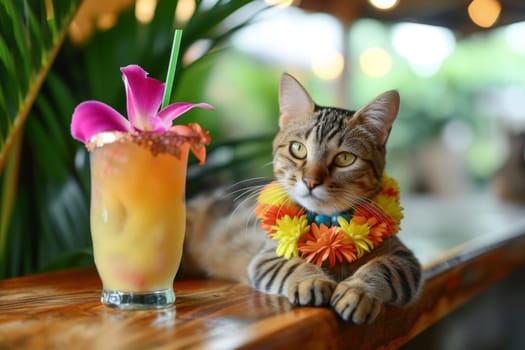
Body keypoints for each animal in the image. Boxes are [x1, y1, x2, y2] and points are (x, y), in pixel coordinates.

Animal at [182, 74, 420, 326]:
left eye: (345, 158)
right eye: (298, 149)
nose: (311, 181)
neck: (328, 224)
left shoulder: (404, 259)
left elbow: (381, 267)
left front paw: (358, 290)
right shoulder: (267, 256)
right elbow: (292, 265)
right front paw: (312, 280)